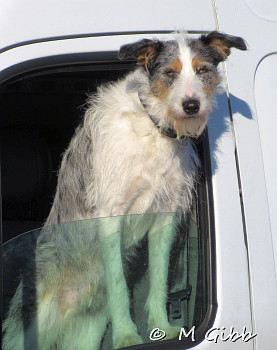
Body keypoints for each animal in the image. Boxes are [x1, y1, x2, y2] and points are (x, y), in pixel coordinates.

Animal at [2, 31, 246, 348]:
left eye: (202, 70)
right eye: (170, 73)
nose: (192, 105)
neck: (153, 130)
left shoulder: (164, 219)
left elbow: (159, 278)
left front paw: (161, 327)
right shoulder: (110, 215)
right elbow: (118, 284)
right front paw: (126, 336)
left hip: (86, 331)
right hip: (32, 325)